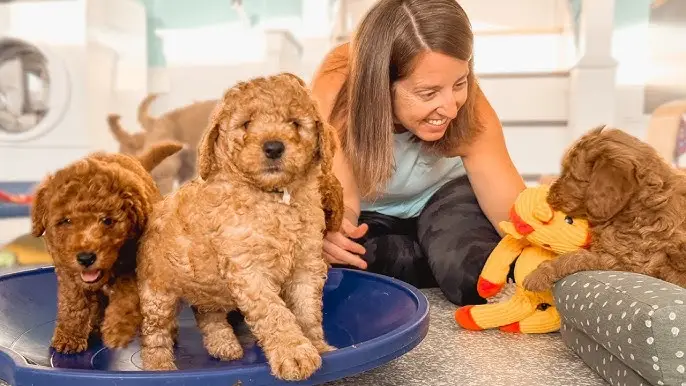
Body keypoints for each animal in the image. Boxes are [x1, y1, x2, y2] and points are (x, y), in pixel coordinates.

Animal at [31, 141, 184, 352]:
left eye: (107, 220)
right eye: (66, 221)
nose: (86, 258)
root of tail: (136, 160)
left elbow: (127, 295)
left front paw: (117, 330)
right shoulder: (67, 270)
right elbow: (73, 302)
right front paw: (69, 336)